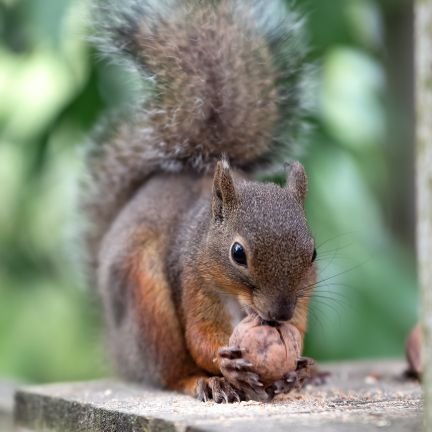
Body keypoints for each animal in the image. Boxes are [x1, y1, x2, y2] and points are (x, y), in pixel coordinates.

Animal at [82, 0, 318, 402]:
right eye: (238, 253)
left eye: (313, 252)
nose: (279, 315)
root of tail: (118, 347)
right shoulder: (191, 278)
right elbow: (199, 337)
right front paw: (226, 365)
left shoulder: (303, 294)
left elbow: (298, 331)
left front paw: (297, 369)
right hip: (146, 306)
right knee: (169, 370)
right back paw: (205, 381)